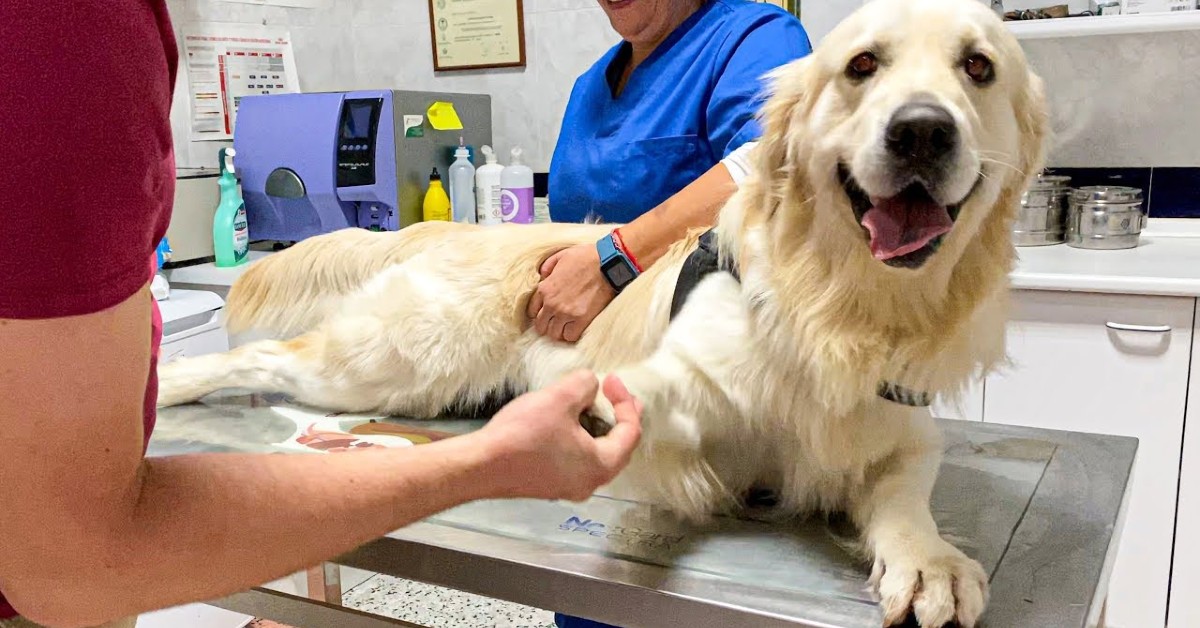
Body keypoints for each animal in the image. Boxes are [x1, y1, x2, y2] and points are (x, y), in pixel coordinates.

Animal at [162, 1, 1051, 624]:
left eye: (978, 67)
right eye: (862, 65)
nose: (923, 132)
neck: (845, 305)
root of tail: (445, 224)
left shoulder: (902, 433)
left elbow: (905, 494)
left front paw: (930, 561)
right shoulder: (682, 384)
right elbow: (661, 408)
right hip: (388, 362)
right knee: (256, 357)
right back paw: (169, 379)